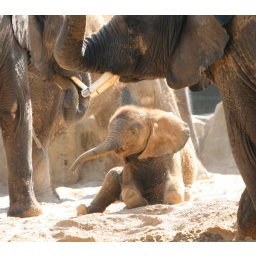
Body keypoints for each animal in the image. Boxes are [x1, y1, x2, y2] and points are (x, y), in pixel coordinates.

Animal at [70, 105, 198, 215]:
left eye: (134, 132)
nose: (72, 170)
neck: (150, 114)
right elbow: (129, 190)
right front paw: (143, 203)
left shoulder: (169, 150)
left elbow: (173, 183)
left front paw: (164, 204)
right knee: (112, 174)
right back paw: (82, 210)